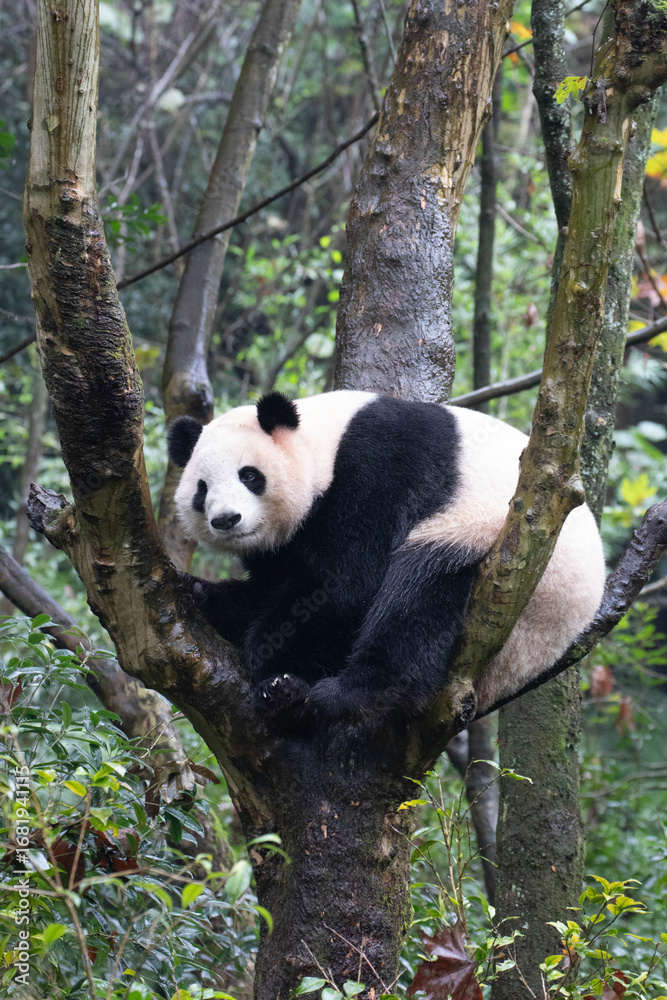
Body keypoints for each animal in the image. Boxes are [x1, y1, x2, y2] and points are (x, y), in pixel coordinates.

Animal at [168, 390, 605, 720]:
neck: (325, 443)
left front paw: (267, 653)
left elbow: (346, 585)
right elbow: (274, 588)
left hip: (493, 549)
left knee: (416, 599)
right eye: (202, 488)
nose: (226, 519)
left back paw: (344, 694)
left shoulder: (377, 469)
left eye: (249, 475)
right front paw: (200, 594)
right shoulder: (284, 546)